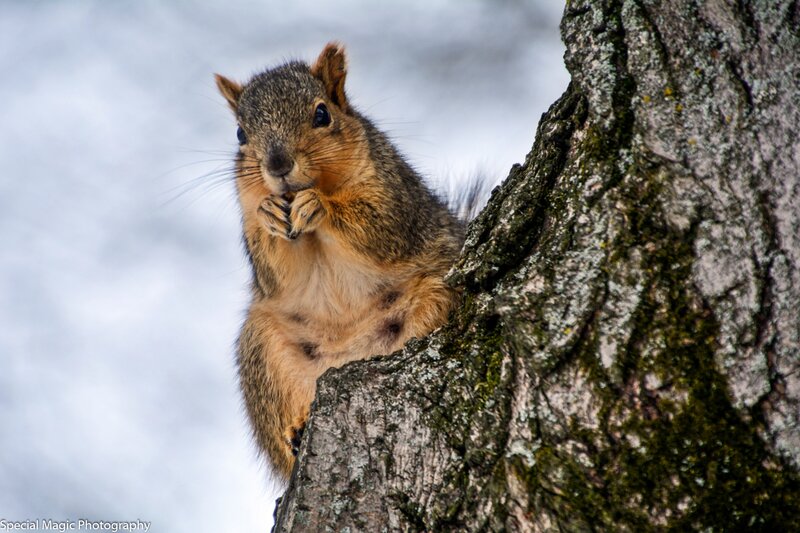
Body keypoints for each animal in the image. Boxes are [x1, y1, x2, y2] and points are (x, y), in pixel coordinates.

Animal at [215, 42, 466, 480]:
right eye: (240, 133)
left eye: (322, 114)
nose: (277, 166)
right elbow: (274, 272)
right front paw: (268, 214)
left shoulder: (395, 195)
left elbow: (381, 229)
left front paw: (320, 206)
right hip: (264, 351)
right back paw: (297, 430)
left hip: (434, 295)